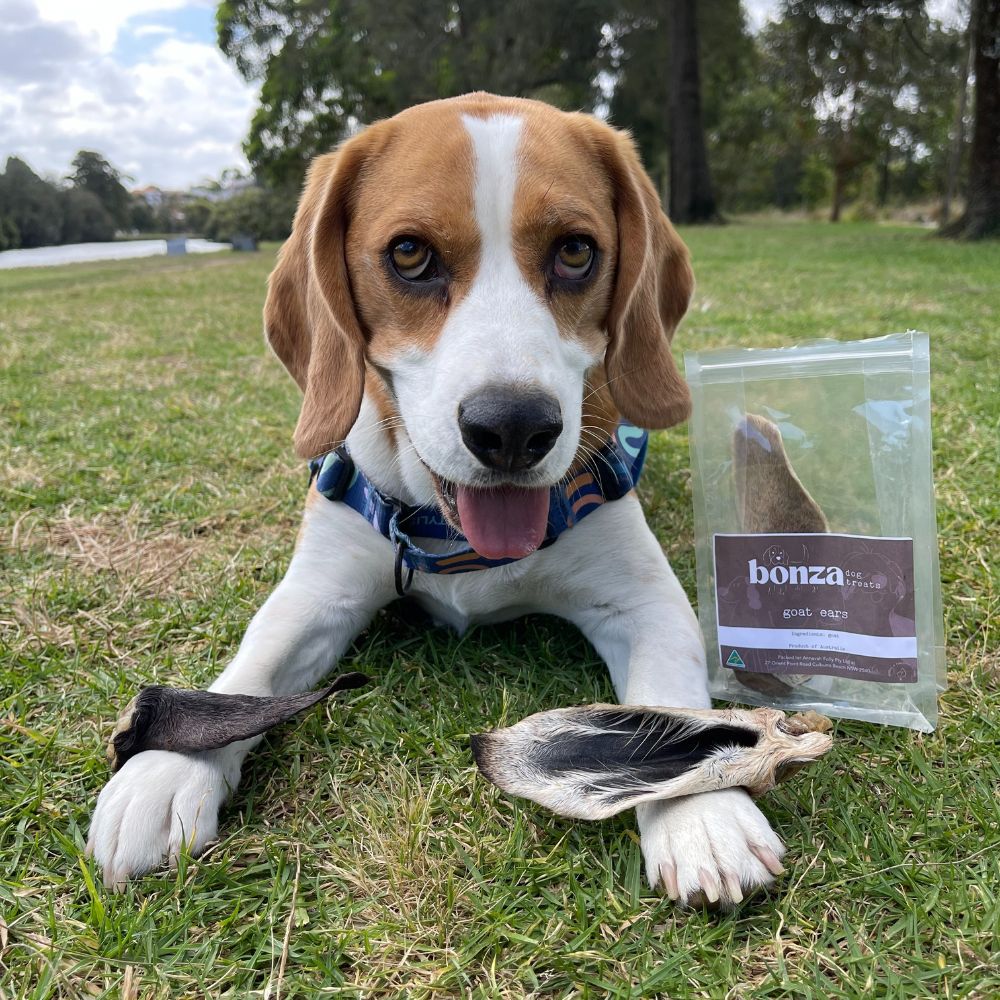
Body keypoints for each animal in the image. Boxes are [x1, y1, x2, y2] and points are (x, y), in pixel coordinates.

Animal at [86, 95, 784, 908]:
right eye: (411, 255)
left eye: (576, 251)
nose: (513, 428)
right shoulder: (317, 593)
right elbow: (252, 669)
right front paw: (169, 768)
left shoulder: (644, 602)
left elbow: (668, 706)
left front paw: (703, 810)